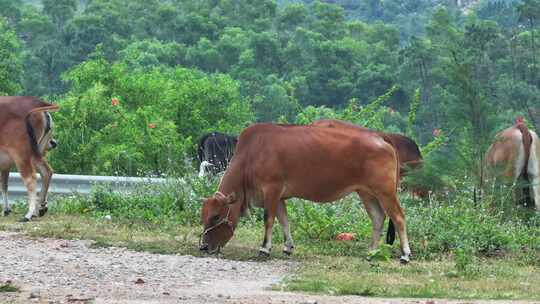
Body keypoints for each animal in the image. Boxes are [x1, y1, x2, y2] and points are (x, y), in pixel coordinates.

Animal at [200, 122, 412, 262]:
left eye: (216, 216)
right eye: (204, 217)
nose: (203, 247)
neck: (251, 155)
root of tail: (381, 136)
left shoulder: (272, 190)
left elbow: (268, 219)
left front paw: (265, 248)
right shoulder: (279, 197)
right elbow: (284, 220)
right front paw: (287, 247)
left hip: (385, 191)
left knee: (399, 217)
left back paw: (405, 254)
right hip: (366, 192)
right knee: (378, 217)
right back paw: (371, 252)